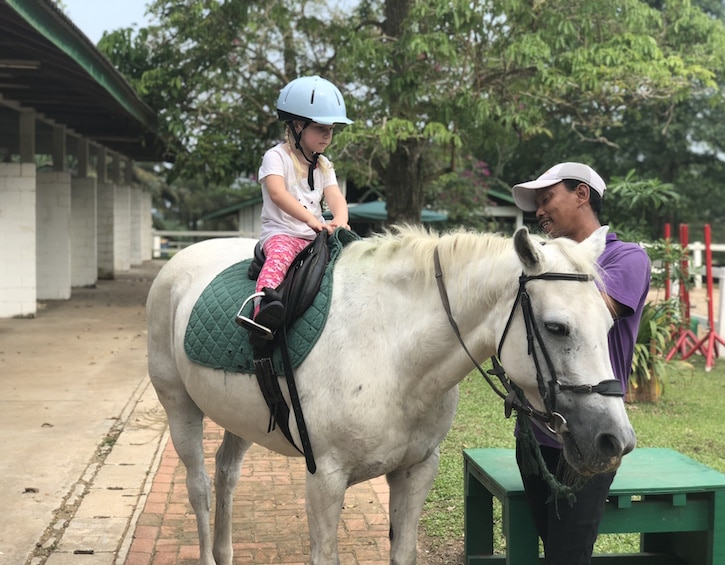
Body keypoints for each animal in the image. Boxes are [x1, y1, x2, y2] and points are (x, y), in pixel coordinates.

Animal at [146, 225, 632, 564]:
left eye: (611, 324)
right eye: (556, 327)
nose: (616, 440)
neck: (392, 353)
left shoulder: (416, 471)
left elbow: (403, 551)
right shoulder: (324, 478)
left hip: (238, 419)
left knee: (226, 475)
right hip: (180, 408)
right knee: (199, 487)